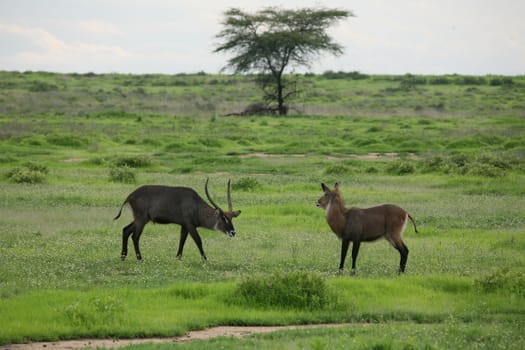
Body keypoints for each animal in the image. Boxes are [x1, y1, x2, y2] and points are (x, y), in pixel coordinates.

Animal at [114, 179, 242, 262]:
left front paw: (178, 257)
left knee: (126, 230)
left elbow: (182, 241)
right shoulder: (190, 225)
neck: (196, 206)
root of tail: (130, 196)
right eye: (223, 218)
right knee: (135, 236)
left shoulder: (184, 226)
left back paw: (123, 256)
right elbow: (198, 240)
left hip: (139, 219)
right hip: (141, 219)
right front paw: (205, 259)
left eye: (231, 218)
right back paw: (140, 258)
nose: (233, 232)